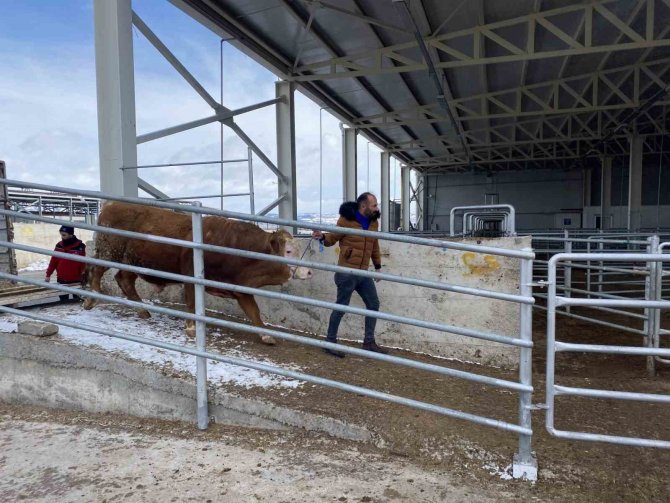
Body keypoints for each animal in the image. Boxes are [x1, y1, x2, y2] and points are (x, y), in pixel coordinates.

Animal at [83, 203, 312, 344]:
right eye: (288, 251)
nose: (308, 271)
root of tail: (111, 206)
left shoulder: (240, 287)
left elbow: (254, 312)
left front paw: (266, 336)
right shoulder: (191, 275)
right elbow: (192, 302)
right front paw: (192, 328)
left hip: (133, 262)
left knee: (124, 280)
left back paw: (143, 311)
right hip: (109, 251)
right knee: (96, 270)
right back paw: (91, 298)